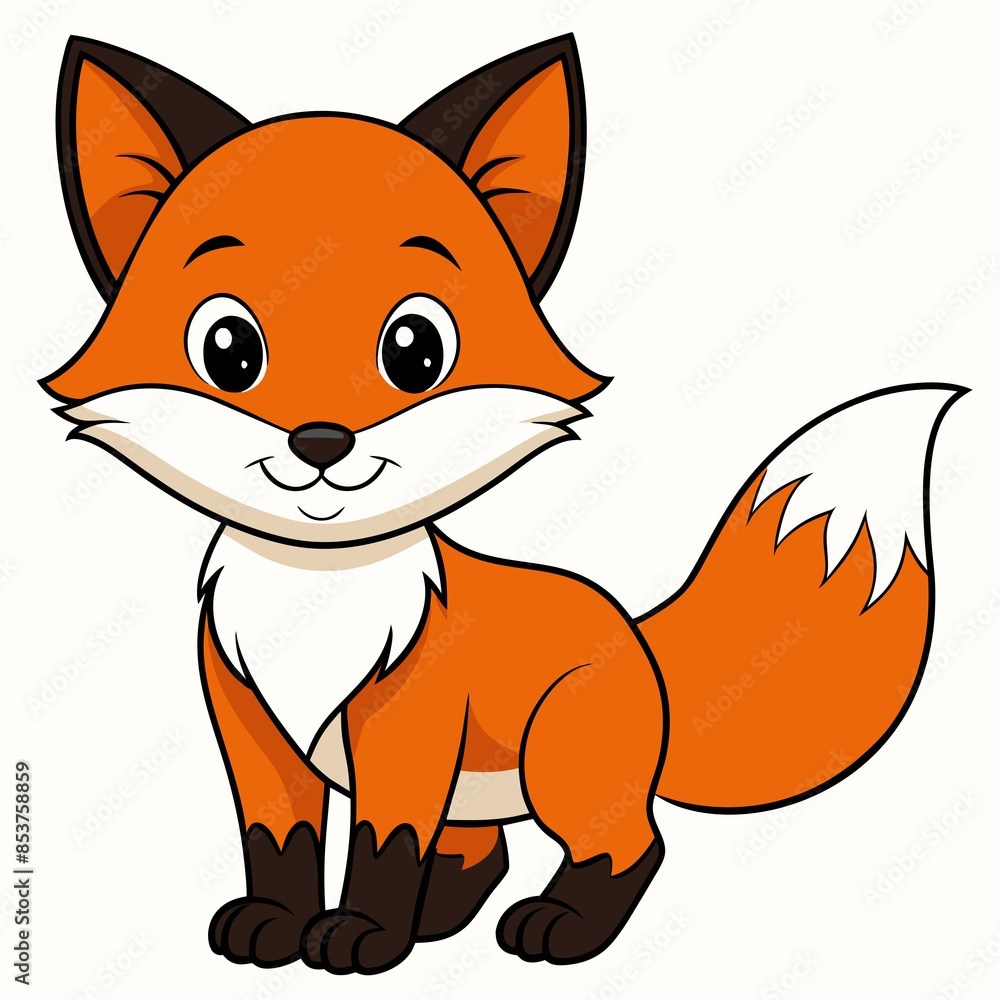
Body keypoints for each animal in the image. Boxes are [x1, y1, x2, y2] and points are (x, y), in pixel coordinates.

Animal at [44, 33, 964, 974]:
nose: (321, 441)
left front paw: (365, 936)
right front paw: (279, 925)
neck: (316, 599)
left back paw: (559, 927)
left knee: (629, 843)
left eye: (416, 349)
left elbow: (382, 846)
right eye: (227, 348)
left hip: (561, 759)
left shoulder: (406, 731)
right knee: (485, 850)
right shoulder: (254, 733)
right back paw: (442, 918)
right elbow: (280, 843)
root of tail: (637, 636)